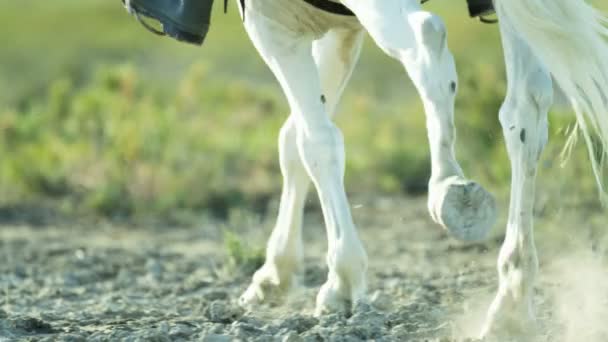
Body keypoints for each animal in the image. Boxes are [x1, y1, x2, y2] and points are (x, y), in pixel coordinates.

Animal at [236, 0, 608, 336]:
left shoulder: (271, 24)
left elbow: (315, 142)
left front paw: (342, 281)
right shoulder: (341, 31)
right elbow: (293, 140)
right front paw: (276, 273)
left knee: (426, 36)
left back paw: (449, 186)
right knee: (524, 109)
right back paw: (511, 306)